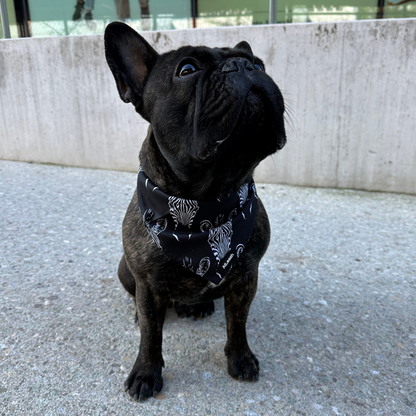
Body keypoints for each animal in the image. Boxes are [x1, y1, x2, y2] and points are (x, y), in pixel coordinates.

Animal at [104, 22, 286, 400]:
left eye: (260, 64)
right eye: (186, 70)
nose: (244, 67)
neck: (206, 204)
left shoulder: (246, 277)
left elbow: (238, 324)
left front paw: (241, 358)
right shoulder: (146, 283)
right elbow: (151, 335)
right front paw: (146, 373)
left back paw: (198, 305)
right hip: (125, 270)